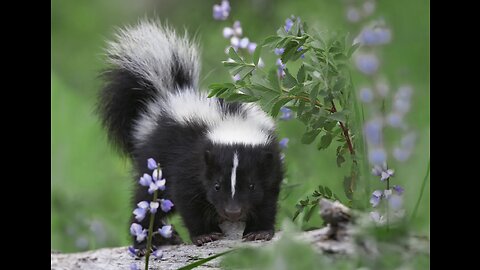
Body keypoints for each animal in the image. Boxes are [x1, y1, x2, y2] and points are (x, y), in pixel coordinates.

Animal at [98, 20, 284, 250]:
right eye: (216, 186)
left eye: (251, 185)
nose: (232, 212)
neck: (230, 121)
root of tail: (167, 96)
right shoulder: (188, 158)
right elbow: (187, 198)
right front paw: (204, 234)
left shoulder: (271, 162)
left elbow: (268, 197)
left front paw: (260, 230)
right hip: (155, 161)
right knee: (148, 201)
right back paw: (148, 240)